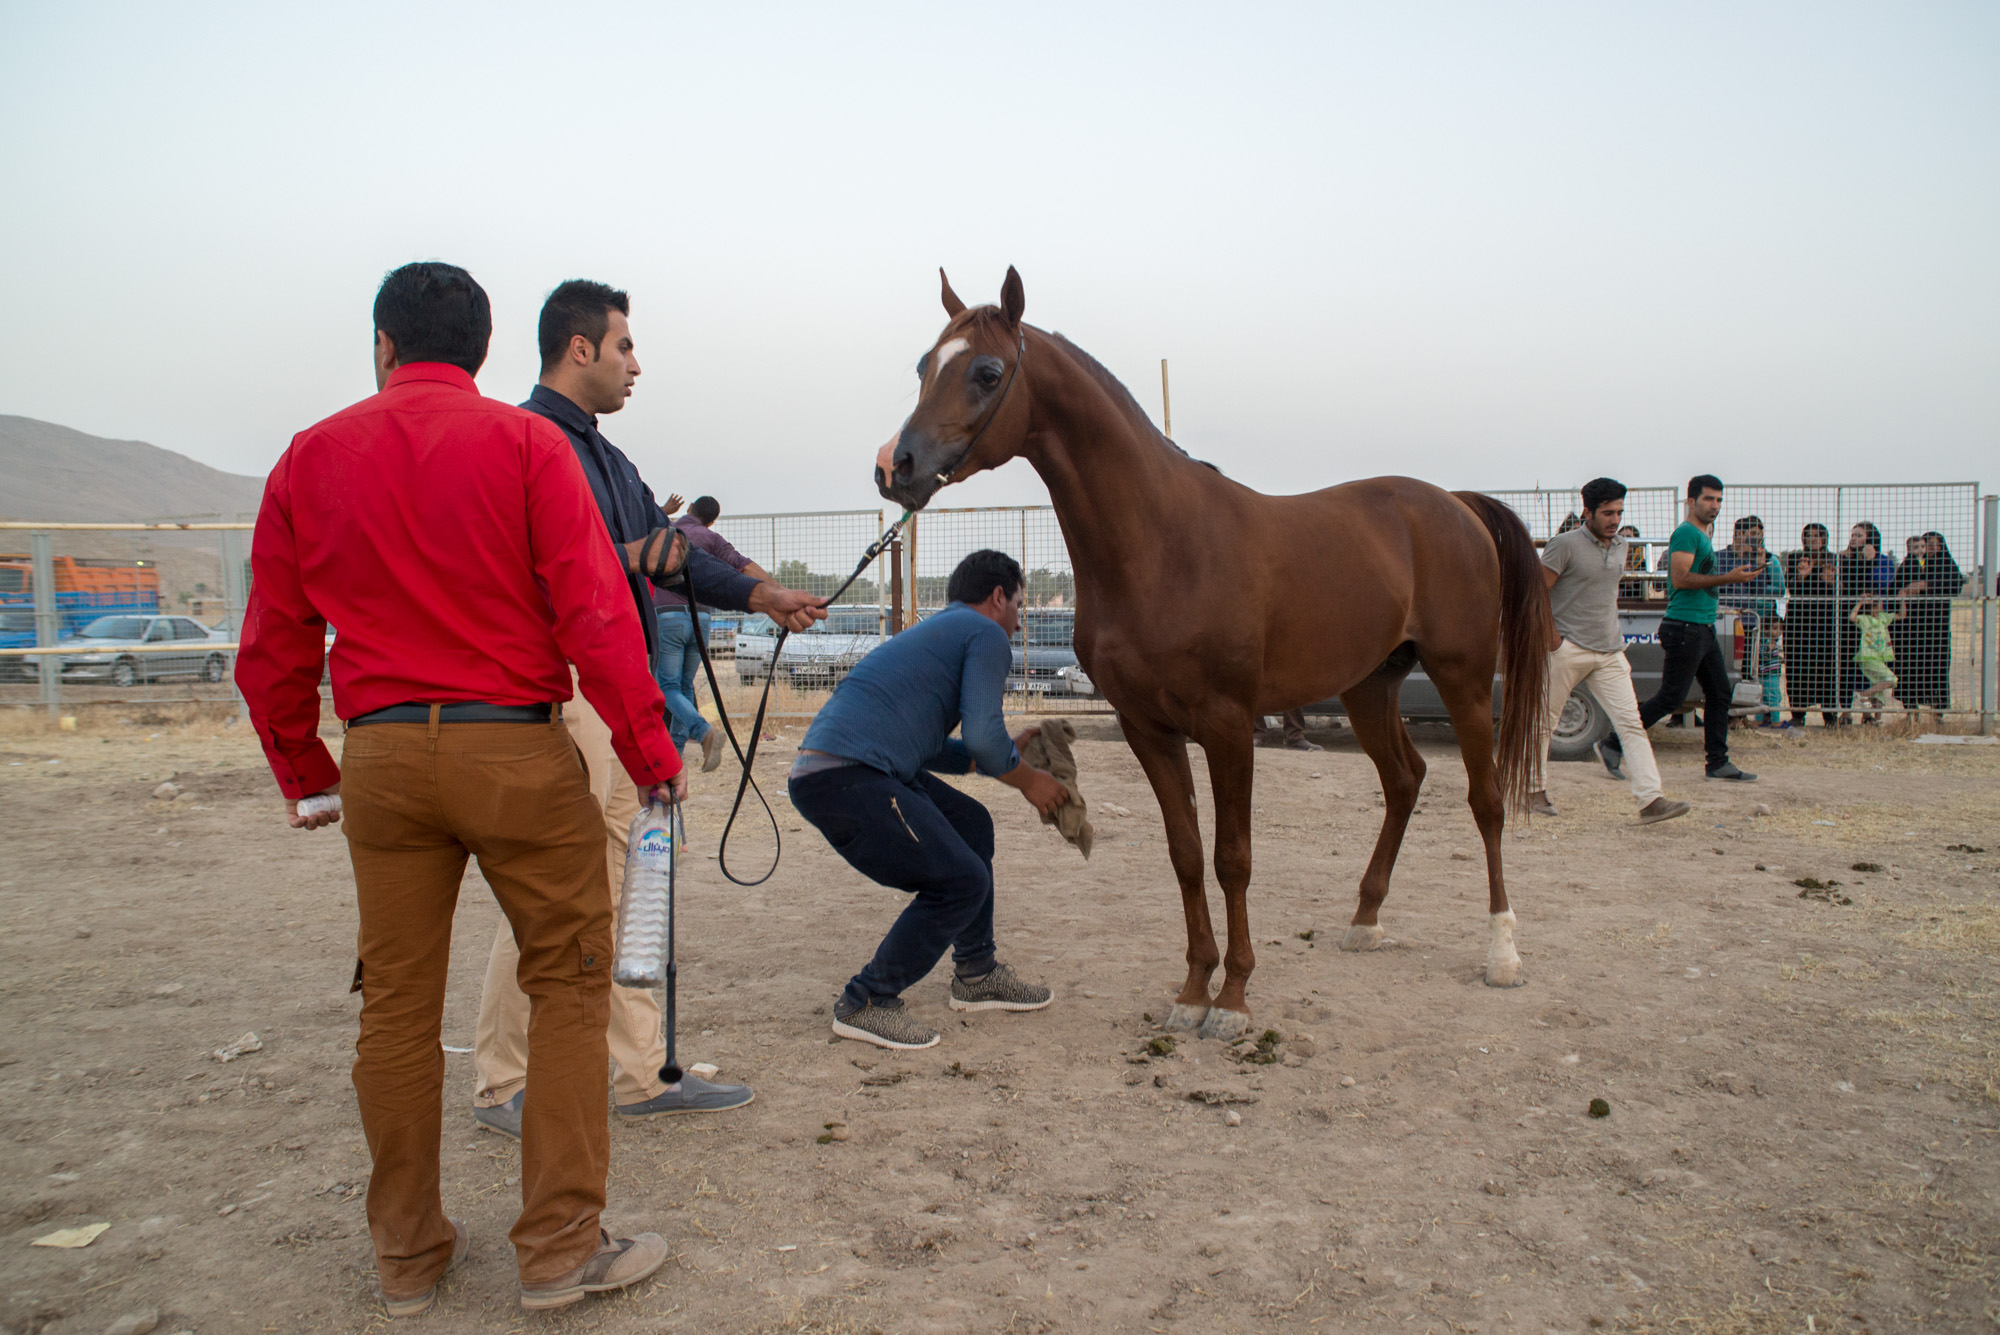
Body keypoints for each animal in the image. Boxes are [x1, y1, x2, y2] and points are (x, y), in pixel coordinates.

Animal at [872, 265, 1544, 1039]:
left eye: (985, 371)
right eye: (924, 365)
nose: (895, 466)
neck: (1164, 546)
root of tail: (1455, 505)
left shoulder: (1228, 727)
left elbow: (1233, 859)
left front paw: (1234, 999)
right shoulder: (1148, 728)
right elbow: (1187, 855)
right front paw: (1194, 988)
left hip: (1463, 677)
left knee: (1485, 800)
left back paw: (1502, 951)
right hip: (1370, 685)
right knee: (1404, 780)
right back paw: (1365, 921)